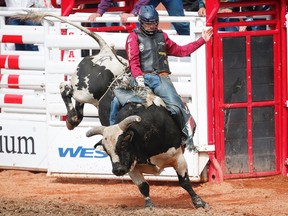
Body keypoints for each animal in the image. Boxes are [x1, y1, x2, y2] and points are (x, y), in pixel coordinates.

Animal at [14, 11, 208, 208]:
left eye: (122, 143)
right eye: (106, 150)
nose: (117, 170)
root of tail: (106, 51)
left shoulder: (177, 157)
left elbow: (184, 182)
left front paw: (199, 202)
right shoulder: (131, 166)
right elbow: (143, 186)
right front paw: (149, 206)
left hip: (88, 95)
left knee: (72, 96)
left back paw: (73, 118)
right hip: (84, 90)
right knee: (65, 87)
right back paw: (71, 119)